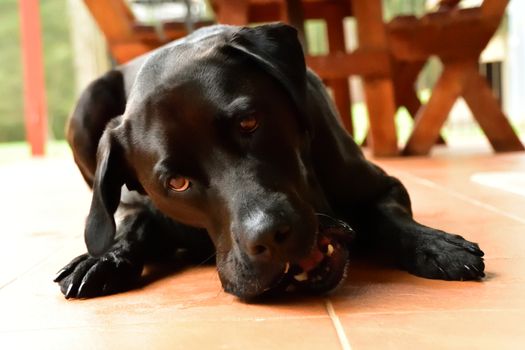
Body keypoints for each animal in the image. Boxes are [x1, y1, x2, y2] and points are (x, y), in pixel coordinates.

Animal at [54, 23, 484, 300]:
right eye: (176, 182)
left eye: (249, 122)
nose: (270, 236)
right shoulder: (142, 209)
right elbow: (131, 226)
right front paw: (102, 258)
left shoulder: (382, 185)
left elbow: (390, 217)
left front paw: (436, 245)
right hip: (85, 106)